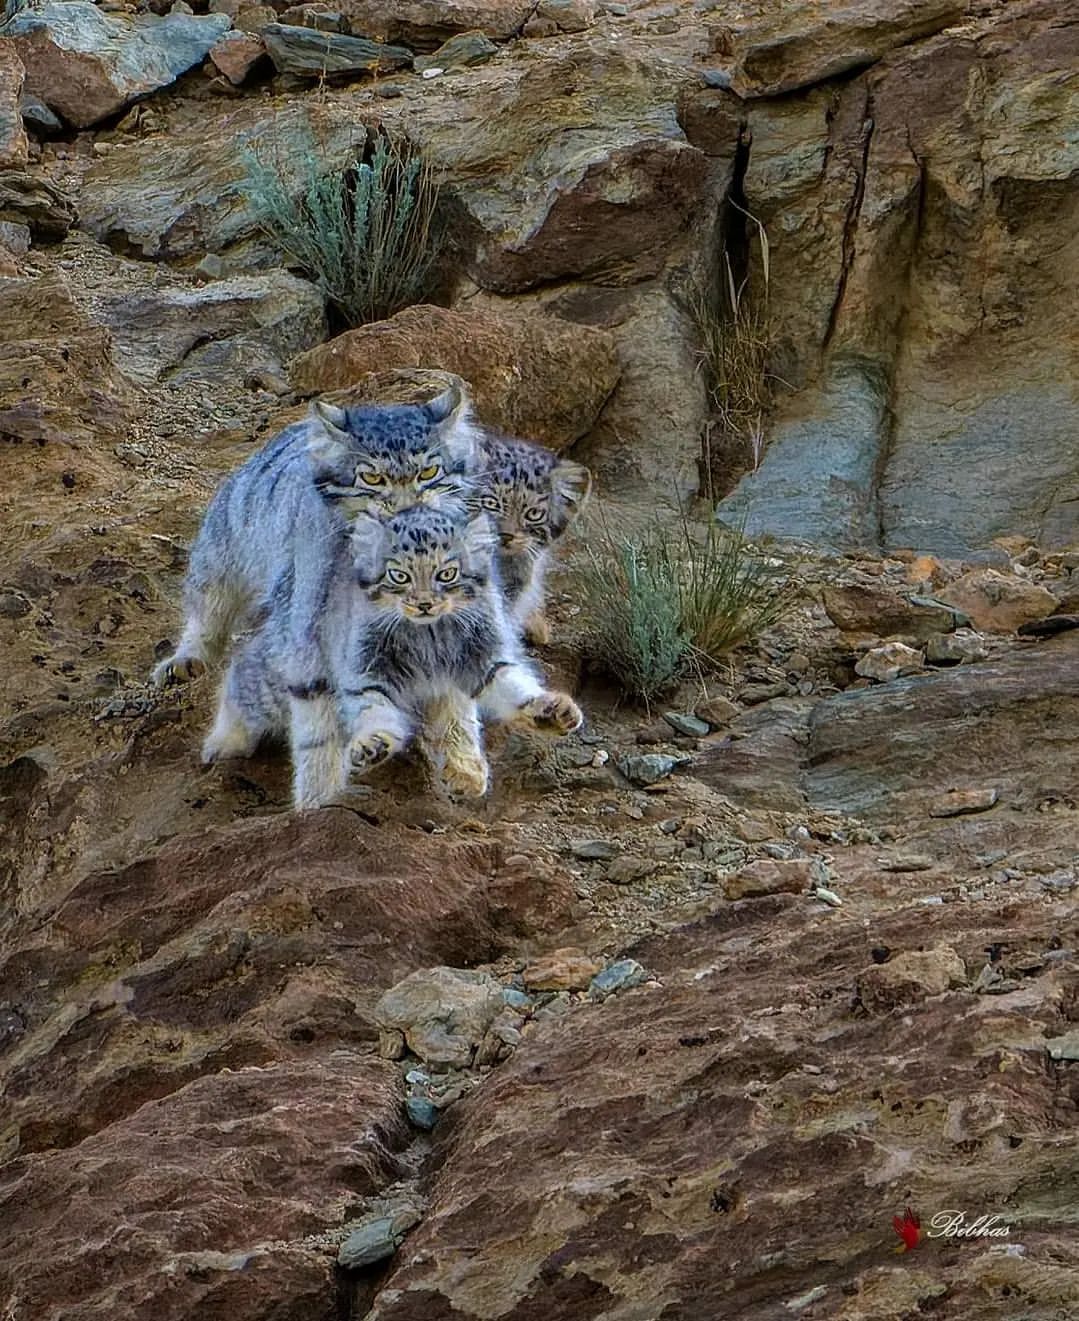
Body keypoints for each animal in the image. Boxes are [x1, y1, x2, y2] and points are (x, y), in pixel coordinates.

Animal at [153, 383, 478, 686]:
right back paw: (187, 657)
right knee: (206, 608)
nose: (406, 509)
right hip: (220, 556)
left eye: (428, 472)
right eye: (372, 477)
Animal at [209, 501, 581, 803]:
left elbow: (512, 686)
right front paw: (372, 745)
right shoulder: (365, 671)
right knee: (244, 673)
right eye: (399, 575)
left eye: (447, 574)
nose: (424, 603)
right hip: (291, 674)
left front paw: (549, 710)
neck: (429, 634)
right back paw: (223, 742)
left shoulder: (482, 659)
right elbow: (375, 710)